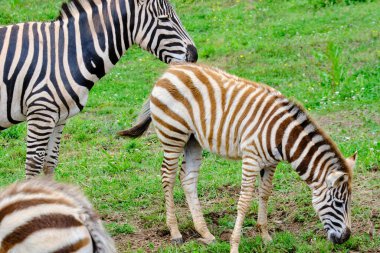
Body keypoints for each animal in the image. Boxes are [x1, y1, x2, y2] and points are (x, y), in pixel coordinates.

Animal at [0, 0, 196, 179]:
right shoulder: (41, 113)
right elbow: (33, 167)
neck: (68, 53)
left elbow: (50, 163)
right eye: (164, 19)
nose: (194, 55)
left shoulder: (58, 117)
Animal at [120, 63, 358, 253]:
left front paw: (265, 236)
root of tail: (169, 71)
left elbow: (265, 193)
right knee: (167, 177)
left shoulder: (271, 162)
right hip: (173, 135)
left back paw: (205, 233)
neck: (282, 135)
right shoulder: (251, 158)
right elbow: (243, 202)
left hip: (192, 139)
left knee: (187, 178)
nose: (346, 238)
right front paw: (235, 245)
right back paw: (175, 233)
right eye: (339, 203)